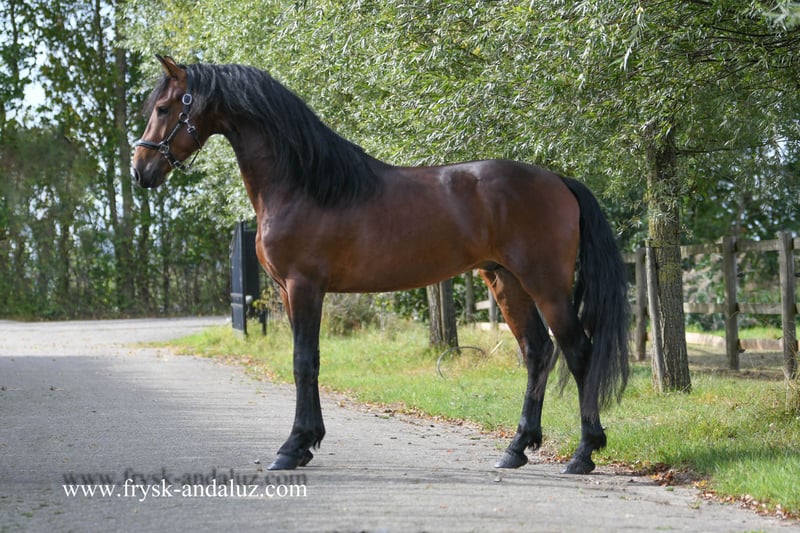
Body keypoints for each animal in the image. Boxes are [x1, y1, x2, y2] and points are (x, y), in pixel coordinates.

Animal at [132, 55, 630, 474]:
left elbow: (303, 361)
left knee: (578, 352)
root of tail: (559, 181)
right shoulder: (290, 293)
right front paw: (307, 442)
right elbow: (308, 361)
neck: (304, 184)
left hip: (546, 286)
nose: (141, 171)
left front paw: (292, 447)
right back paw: (516, 448)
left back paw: (583, 454)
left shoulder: (304, 286)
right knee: (537, 352)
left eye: (164, 107)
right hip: (507, 282)